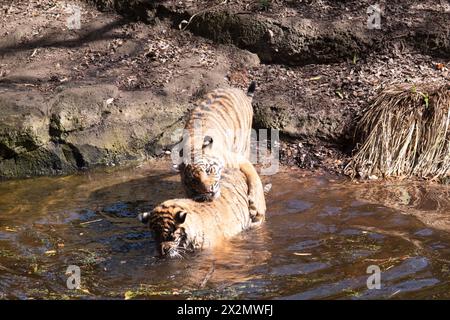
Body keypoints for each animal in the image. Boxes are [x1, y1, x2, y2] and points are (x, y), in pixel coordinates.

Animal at [176, 82, 268, 222]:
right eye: (194, 181)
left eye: (208, 170)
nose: (209, 190)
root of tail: (238, 90)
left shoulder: (238, 160)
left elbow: (255, 178)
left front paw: (258, 208)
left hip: (243, 145)